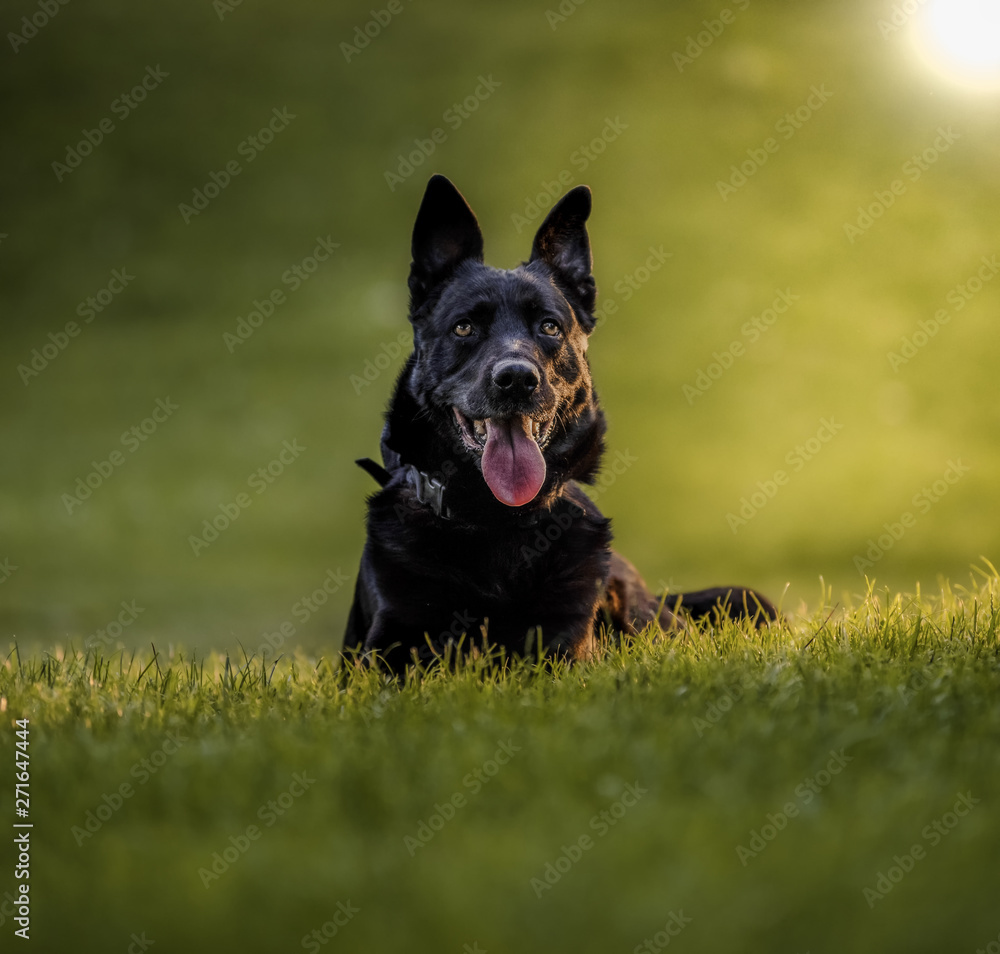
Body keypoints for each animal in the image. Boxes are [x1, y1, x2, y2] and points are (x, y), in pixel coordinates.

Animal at [346, 177, 780, 668]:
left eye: (549, 327)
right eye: (464, 328)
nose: (516, 379)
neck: (495, 519)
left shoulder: (567, 647)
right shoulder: (384, 650)